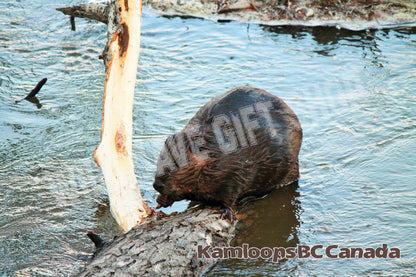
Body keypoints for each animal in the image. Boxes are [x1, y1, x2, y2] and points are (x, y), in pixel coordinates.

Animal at [153, 85, 302, 219]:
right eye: (159, 161)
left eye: (175, 164)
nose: (156, 185)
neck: (213, 149)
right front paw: (161, 200)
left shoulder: (239, 166)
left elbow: (232, 190)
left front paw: (224, 211)